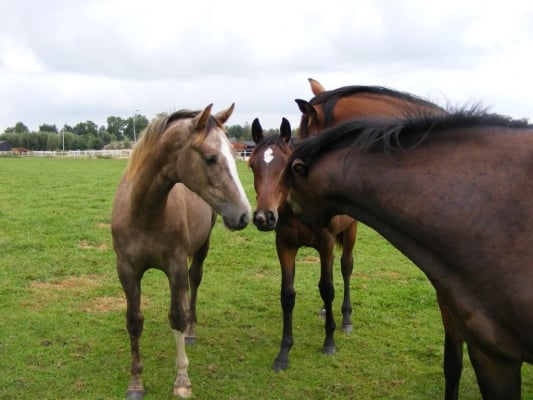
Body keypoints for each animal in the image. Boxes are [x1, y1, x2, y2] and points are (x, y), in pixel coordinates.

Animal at [110, 104, 251, 400]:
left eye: (235, 154)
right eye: (210, 158)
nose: (244, 215)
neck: (144, 212)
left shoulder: (174, 267)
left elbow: (176, 316)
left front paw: (182, 380)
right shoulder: (127, 270)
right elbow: (134, 321)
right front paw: (135, 382)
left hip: (201, 246)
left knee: (194, 281)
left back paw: (191, 330)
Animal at [249, 118, 358, 372]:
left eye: (285, 168)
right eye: (252, 166)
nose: (263, 217)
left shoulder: (326, 244)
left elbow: (327, 288)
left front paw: (329, 342)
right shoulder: (285, 246)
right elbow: (287, 295)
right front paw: (283, 352)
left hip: (350, 231)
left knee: (346, 267)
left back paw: (346, 319)